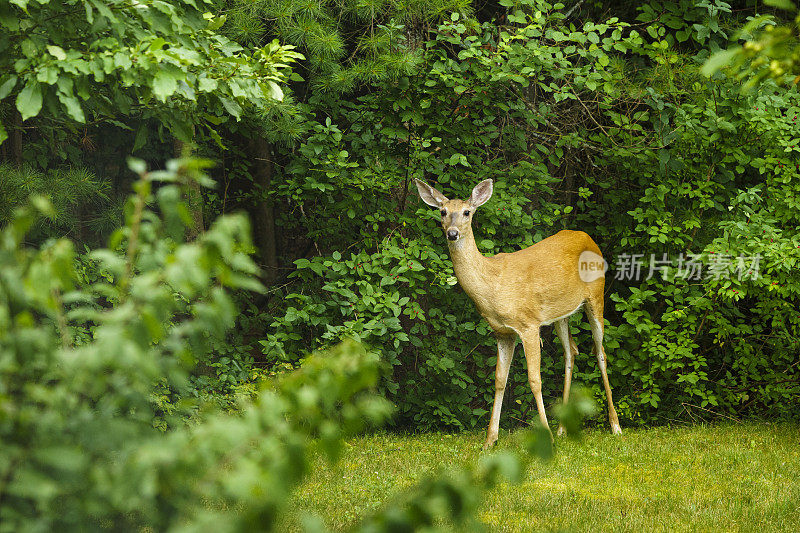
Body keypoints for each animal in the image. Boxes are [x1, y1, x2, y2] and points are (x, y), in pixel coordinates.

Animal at [416, 177, 620, 446]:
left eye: (467, 212)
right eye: (443, 211)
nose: (452, 233)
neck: (493, 284)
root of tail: (587, 236)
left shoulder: (529, 324)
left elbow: (534, 379)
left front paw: (546, 437)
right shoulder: (502, 332)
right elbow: (499, 380)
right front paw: (490, 440)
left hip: (596, 296)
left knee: (600, 353)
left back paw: (615, 426)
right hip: (561, 313)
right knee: (571, 351)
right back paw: (562, 430)